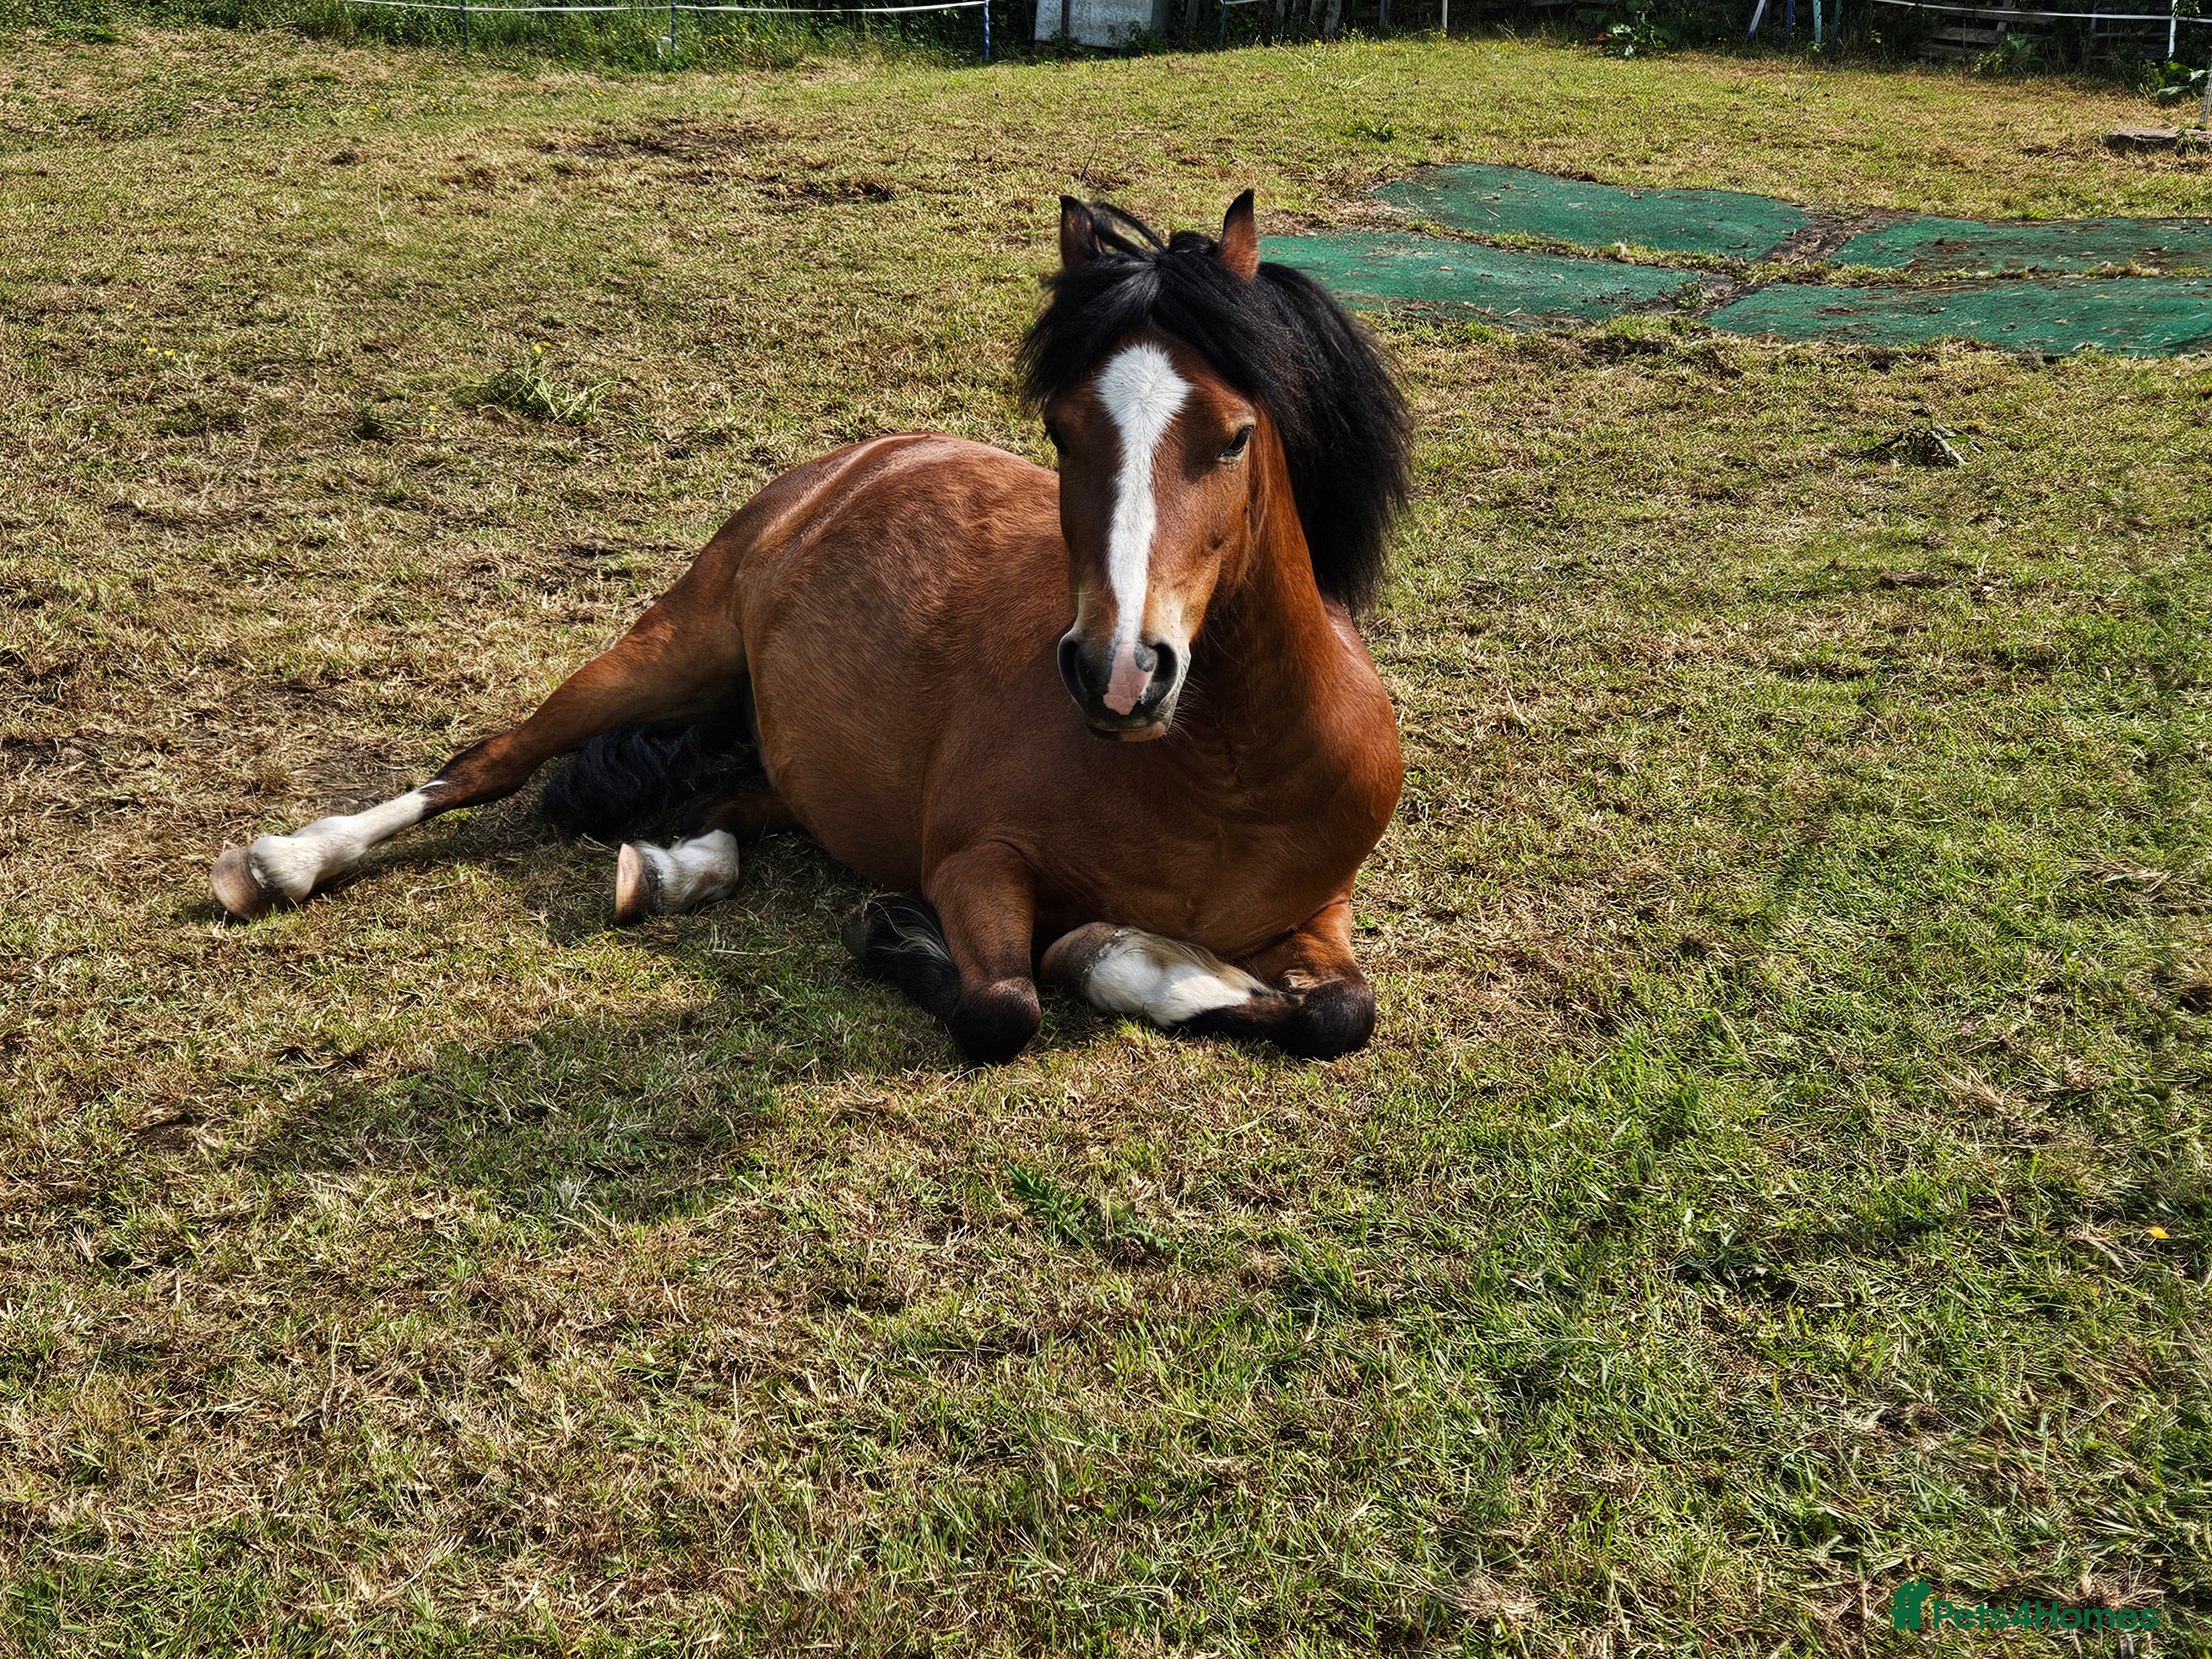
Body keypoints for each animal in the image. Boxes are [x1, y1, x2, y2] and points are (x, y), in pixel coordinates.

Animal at [210, 191, 1411, 1065]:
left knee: (716, 803)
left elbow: (1336, 1018)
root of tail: (857, 458)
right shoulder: (974, 859)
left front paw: (1152, 963)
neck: (1222, 780)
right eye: (1064, 432)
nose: (1119, 673)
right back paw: (284, 862)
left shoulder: (1323, 911)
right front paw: (991, 942)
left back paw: (673, 868)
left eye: (1234, 436)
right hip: (666, 651)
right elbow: (1004, 1007)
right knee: (488, 762)